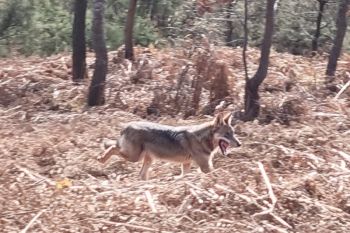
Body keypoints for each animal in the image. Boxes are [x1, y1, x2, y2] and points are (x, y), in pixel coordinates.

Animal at [98, 113, 241, 180]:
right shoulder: (205, 167)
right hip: (134, 157)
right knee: (113, 148)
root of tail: (126, 126)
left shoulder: (186, 164)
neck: (202, 139)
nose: (239, 144)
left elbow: (183, 176)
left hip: (147, 160)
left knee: (141, 175)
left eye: (233, 133)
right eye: (227, 134)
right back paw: (101, 159)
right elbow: (216, 173)